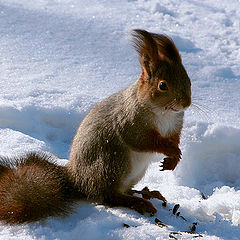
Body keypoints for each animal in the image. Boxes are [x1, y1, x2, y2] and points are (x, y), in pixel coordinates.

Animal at [0, 29, 191, 224]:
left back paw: (146, 193)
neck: (164, 113)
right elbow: (144, 141)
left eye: (188, 80)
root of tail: (77, 179)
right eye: (162, 85)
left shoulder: (175, 125)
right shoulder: (130, 122)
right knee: (108, 195)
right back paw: (138, 202)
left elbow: (174, 138)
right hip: (113, 161)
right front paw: (170, 150)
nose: (186, 103)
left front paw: (174, 158)